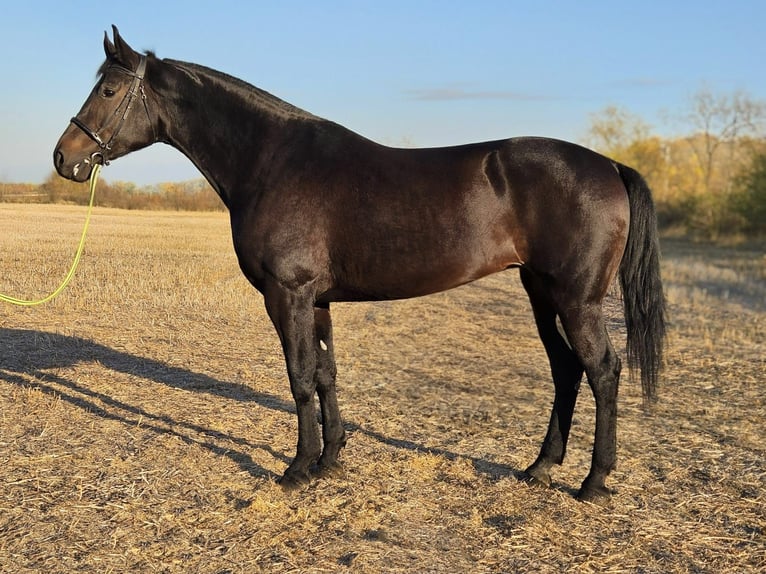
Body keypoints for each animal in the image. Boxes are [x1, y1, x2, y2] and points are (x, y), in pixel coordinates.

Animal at [54, 26, 665, 503]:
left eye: (108, 88)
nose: (64, 158)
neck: (271, 160)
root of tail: (607, 165)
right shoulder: (317, 300)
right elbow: (325, 374)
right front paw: (330, 460)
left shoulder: (288, 294)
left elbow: (300, 377)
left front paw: (297, 469)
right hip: (541, 293)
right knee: (566, 369)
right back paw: (539, 468)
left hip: (576, 299)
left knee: (601, 370)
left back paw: (593, 481)